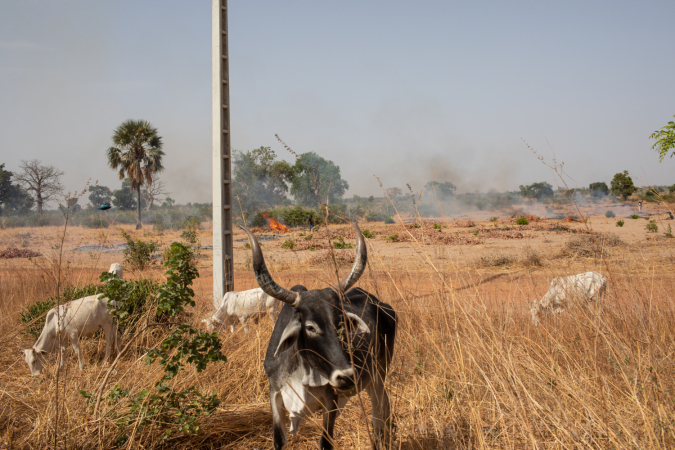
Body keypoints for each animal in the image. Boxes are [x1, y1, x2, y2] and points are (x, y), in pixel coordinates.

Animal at [240, 222, 396, 450]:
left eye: (342, 323)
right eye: (310, 327)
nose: (347, 376)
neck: (302, 371)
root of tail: (380, 303)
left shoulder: (331, 401)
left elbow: (325, 442)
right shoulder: (274, 394)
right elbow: (279, 439)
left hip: (378, 374)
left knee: (380, 410)